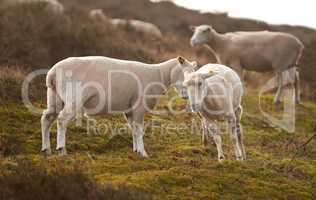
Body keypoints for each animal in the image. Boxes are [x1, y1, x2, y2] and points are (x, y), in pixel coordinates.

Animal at [40, 55, 196, 157]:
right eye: (186, 73)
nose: (187, 96)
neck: (159, 75)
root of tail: (52, 73)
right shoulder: (139, 106)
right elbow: (139, 130)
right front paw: (143, 153)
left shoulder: (130, 109)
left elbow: (133, 129)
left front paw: (136, 150)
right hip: (74, 98)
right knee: (62, 120)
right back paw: (61, 149)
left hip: (54, 96)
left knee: (47, 118)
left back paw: (46, 149)